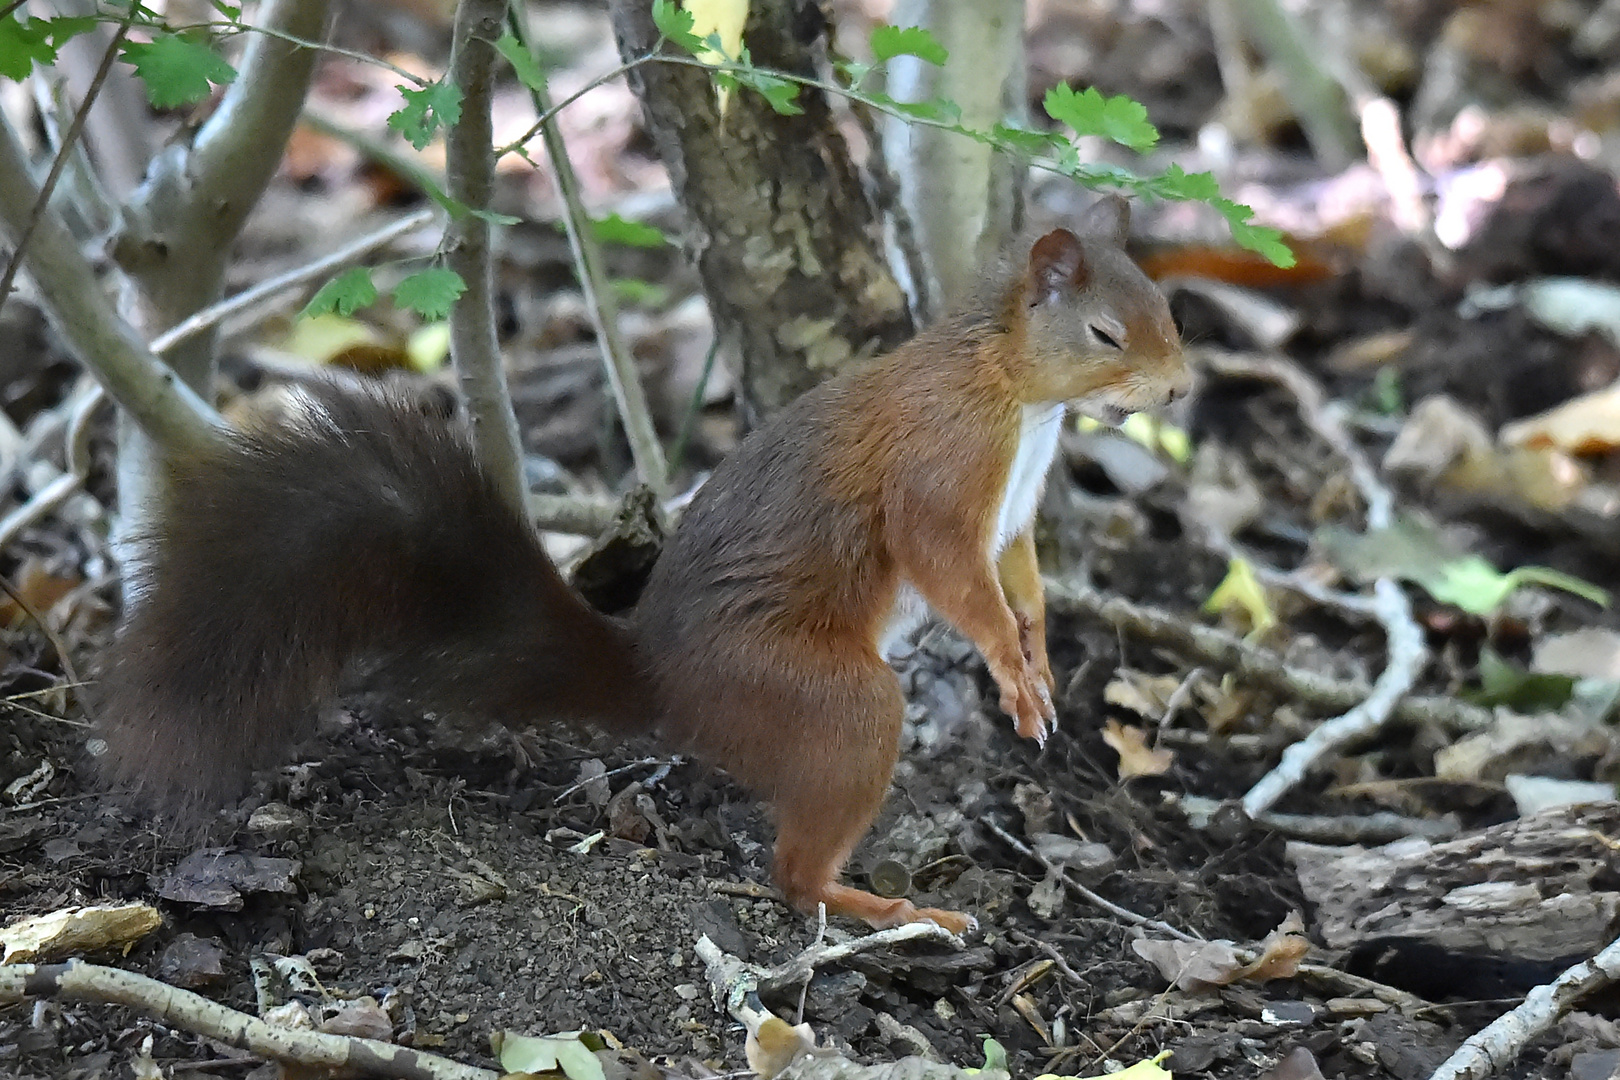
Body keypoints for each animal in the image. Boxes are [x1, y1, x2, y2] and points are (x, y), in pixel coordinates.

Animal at [101, 196, 1192, 939]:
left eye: (1169, 308)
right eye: (1105, 332)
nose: (1181, 389)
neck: (1018, 396)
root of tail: (667, 685)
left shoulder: (1012, 516)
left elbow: (1020, 577)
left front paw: (1037, 656)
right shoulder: (938, 469)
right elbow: (951, 571)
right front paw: (1011, 669)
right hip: (826, 701)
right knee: (793, 869)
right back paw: (879, 906)